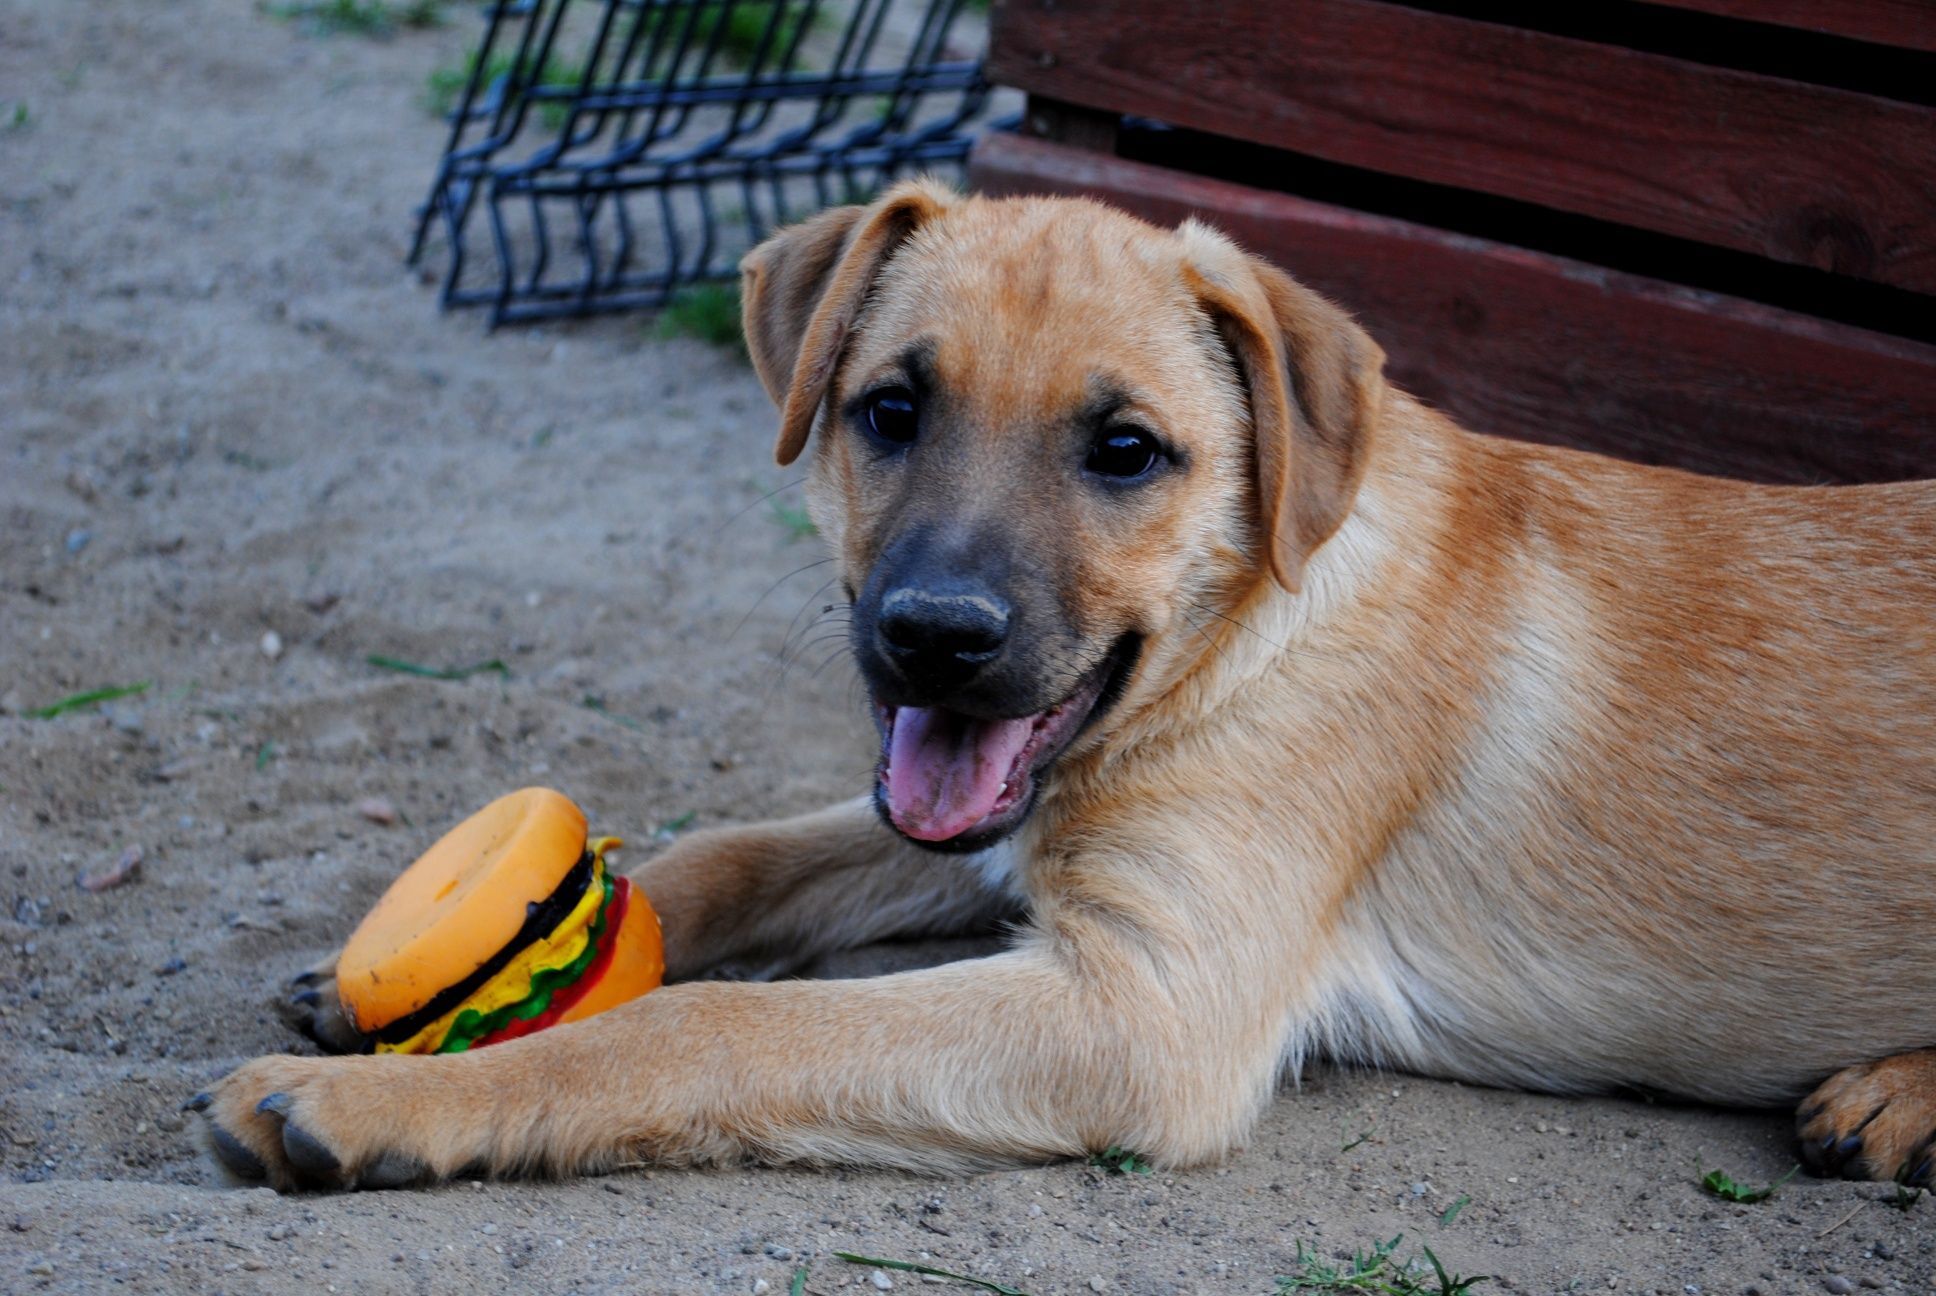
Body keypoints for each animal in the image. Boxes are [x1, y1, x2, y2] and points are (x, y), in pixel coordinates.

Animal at [200, 182, 1936, 1193]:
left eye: (1126, 451)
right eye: (890, 410)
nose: (934, 634)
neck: (1251, 634)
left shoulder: (1145, 1008)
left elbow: (704, 1029)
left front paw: (377, 1106)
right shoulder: (981, 833)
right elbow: (727, 859)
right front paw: (397, 982)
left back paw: (1893, 1102)